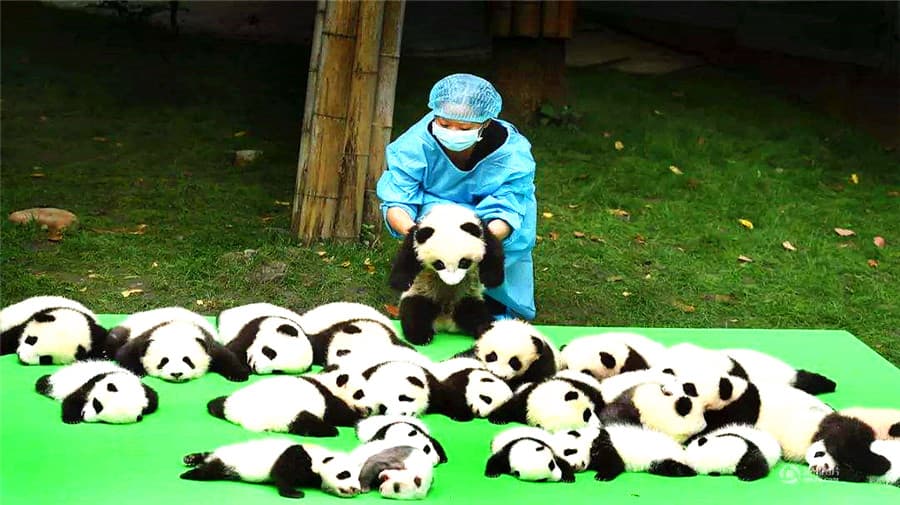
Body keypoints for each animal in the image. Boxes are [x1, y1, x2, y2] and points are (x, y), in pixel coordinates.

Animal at [107, 307, 249, 382]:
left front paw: (239, 375)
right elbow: (125, 353)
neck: (176, 328)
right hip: (128, 328)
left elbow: (225, 355)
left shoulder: (206, 341)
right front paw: (138, 371)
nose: (176, 374)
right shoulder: (145, 337)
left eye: (187, 360)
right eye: (164, 361)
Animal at [180, 438, 361, 498]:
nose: (356, 489)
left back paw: (191, 459)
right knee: (210, 470)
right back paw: (189, 473)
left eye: (357, 478)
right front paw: (294, 493)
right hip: (228, 460)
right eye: (344, 474)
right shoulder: (297, 455)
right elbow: (281, 473)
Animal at [206, 375, 362, 437]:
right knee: (307, 423)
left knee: (218, 404)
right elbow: (340, 414)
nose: (365, 408)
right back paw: (330, 430)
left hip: (232, 402)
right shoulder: (326, 398)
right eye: (359, 394)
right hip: (289, 415)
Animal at [388, 204, 505, 345]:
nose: (452, 282)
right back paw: (421, 336)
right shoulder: (415, 237)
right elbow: (406, 258)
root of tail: (445, 322)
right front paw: (401, 283)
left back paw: (488, 331)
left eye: (464, 262)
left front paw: (490, 279)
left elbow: (493, 254)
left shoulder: (483, 233)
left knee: (477, 314)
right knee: (415, 311)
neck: (448, 216)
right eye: (439, 264)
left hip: (467, 298)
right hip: (422, 294)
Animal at [553, 425, 697, 481]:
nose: (574, 466)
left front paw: (602, 476)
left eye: (569, 451)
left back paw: (689, 470)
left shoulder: (602, 440)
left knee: (673, 467)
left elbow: (615, 462)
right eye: (562, 458)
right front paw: (567, 475)